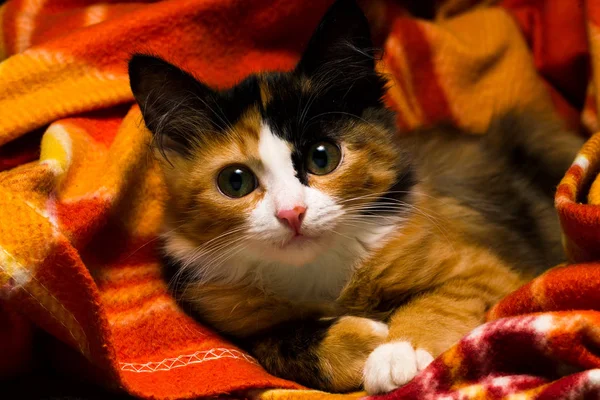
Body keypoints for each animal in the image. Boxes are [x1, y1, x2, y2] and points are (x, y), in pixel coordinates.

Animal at [126, 0, 580, 394]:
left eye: (322, 157)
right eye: (235, 182)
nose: (292, 213)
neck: (319, 271)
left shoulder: (487, 269)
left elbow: (440, 300)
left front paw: (399, 350)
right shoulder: (232, 317)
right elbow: (279, 344)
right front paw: (365, 340)